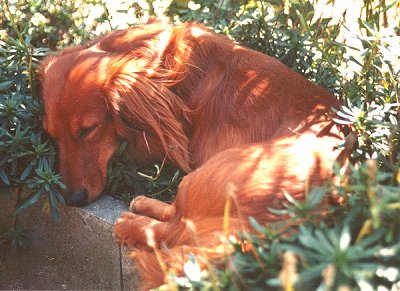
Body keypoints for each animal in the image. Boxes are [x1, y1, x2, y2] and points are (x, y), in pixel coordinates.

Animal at [40, 22, 352, 290]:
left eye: (88, 129)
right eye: (51, 134)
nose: (72, 199)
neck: (169, 66)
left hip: (203, 175)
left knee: (173, 229)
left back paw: (129, 223)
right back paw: (143, 203)